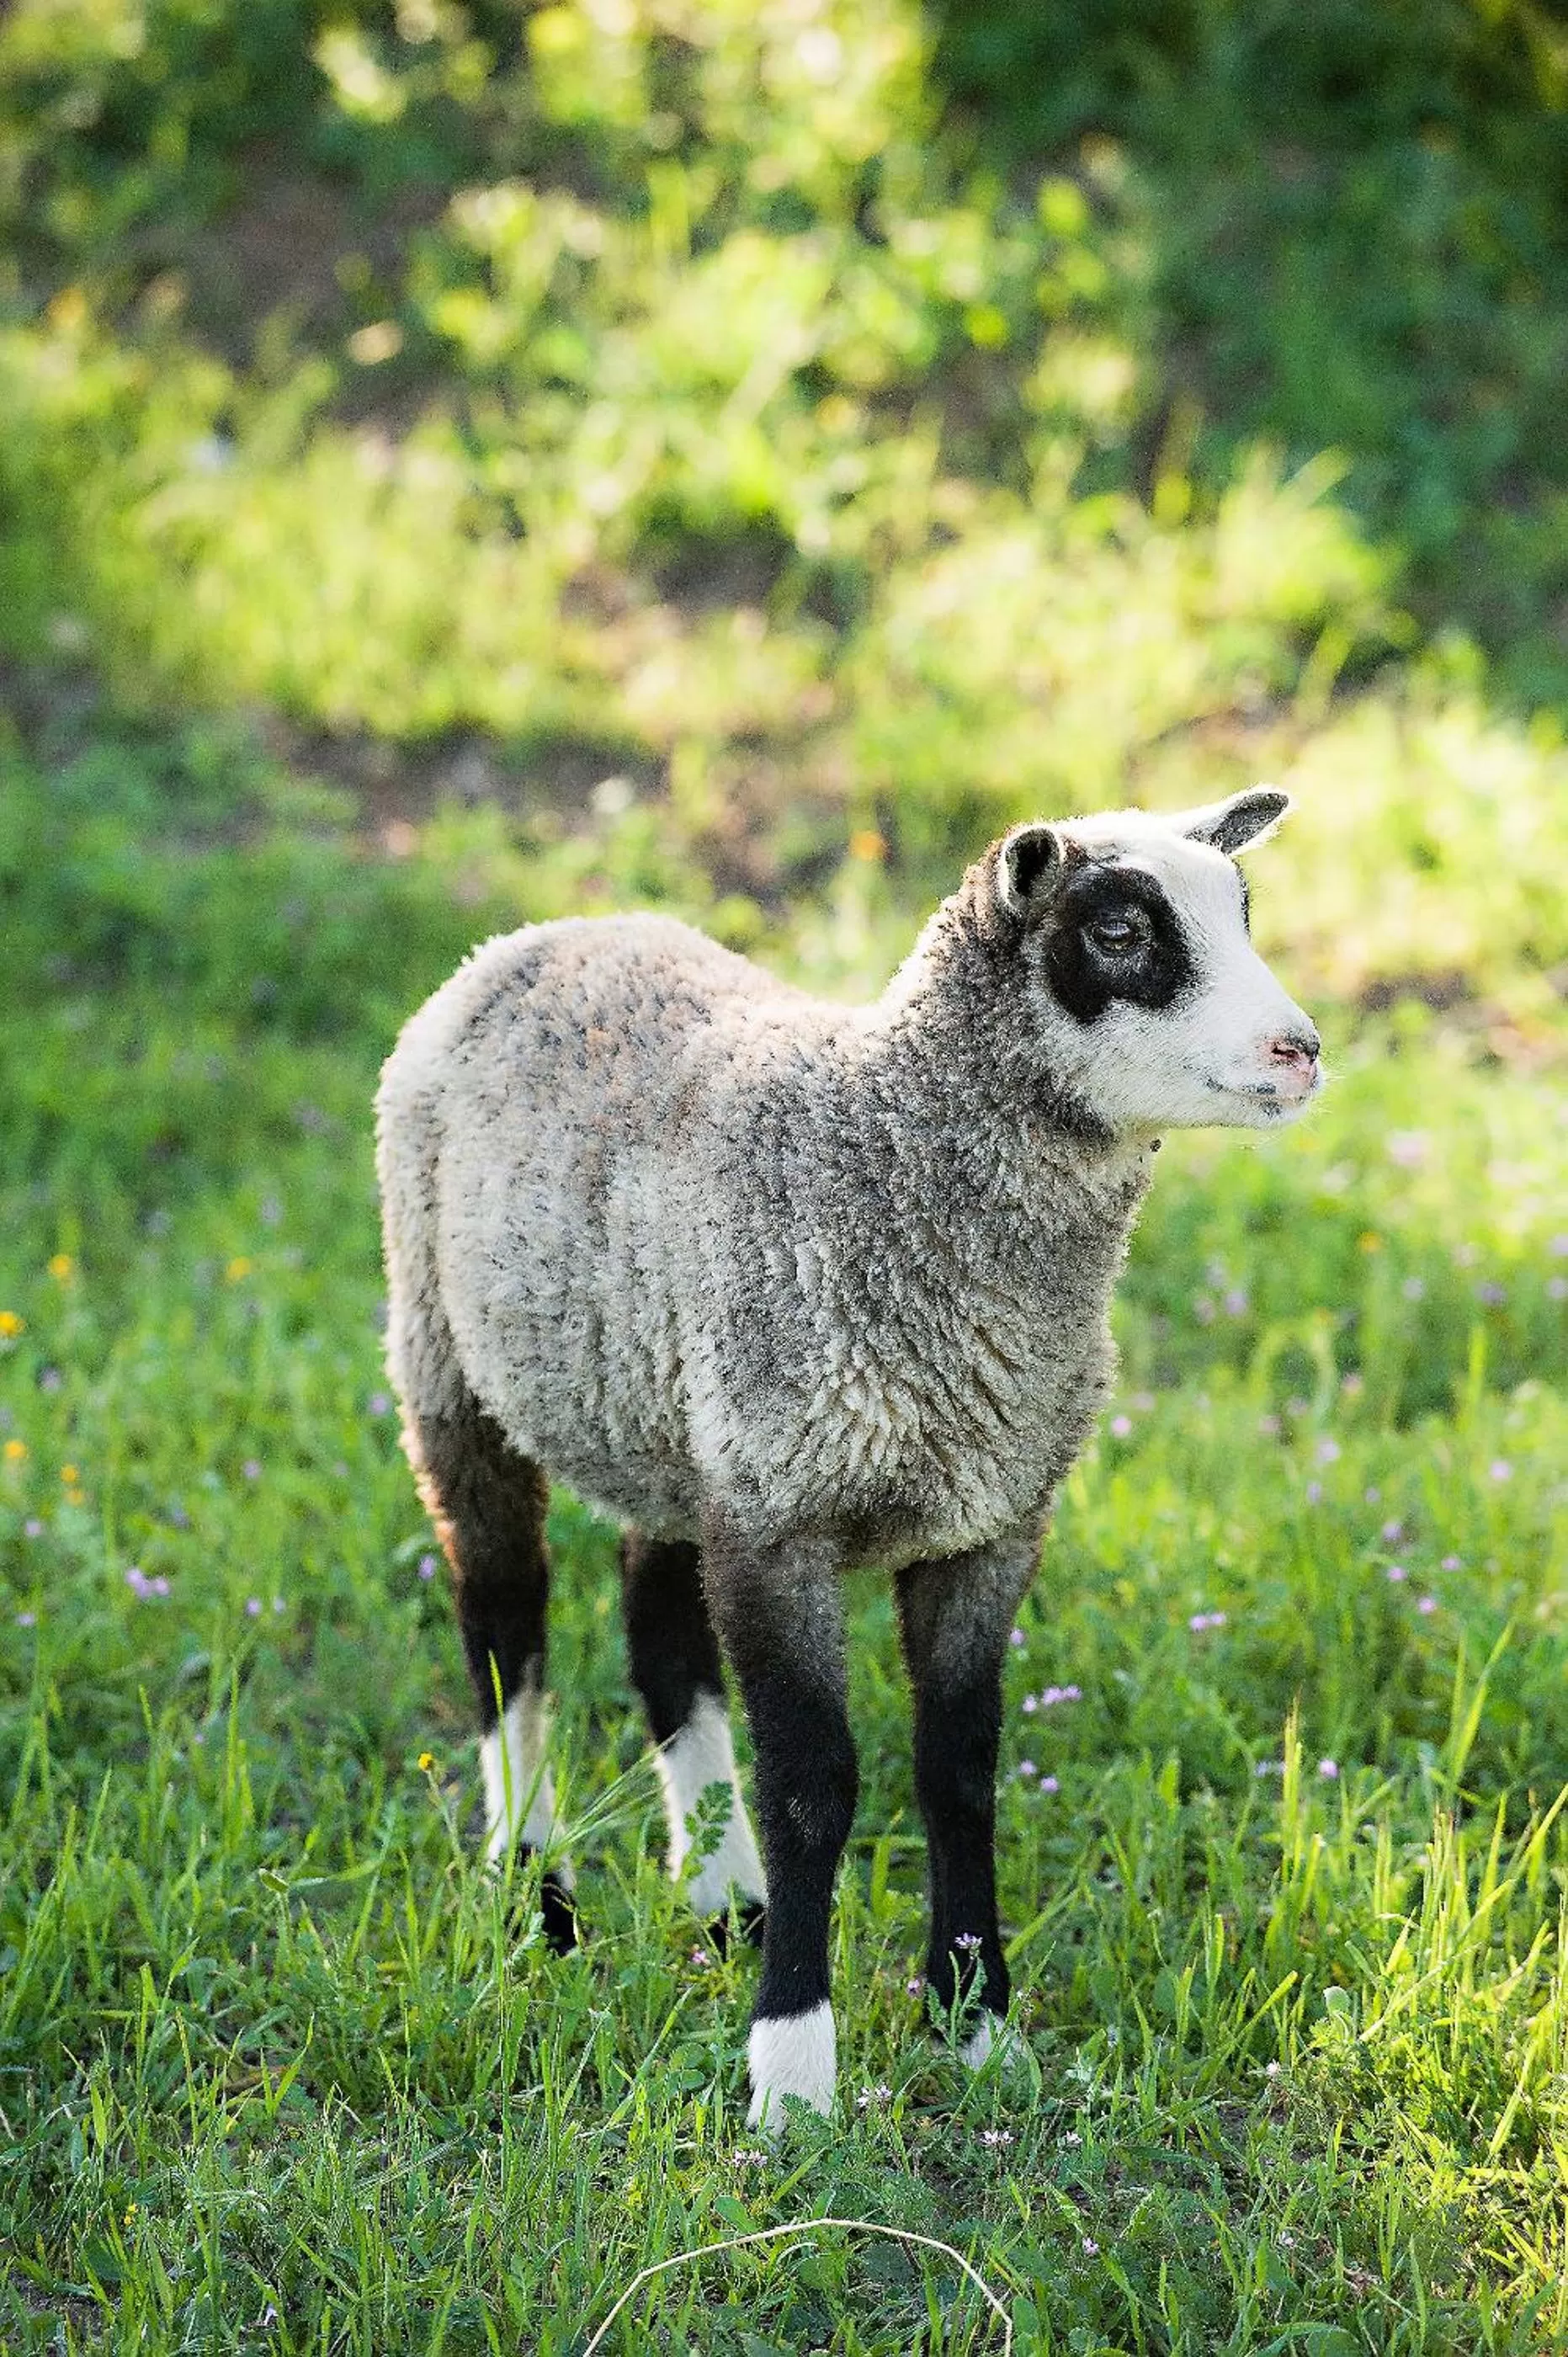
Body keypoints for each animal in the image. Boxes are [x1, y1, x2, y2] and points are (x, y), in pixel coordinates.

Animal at [374, 787, 1321, 2129]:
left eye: (1242, 909)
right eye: (1120, 933)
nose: (1300, 1051)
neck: (873, 1158)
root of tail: (549, 932)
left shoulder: (988, 1520)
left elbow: (960, 1772)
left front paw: (978, 2025)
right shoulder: (783, 1526)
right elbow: (813, 1790)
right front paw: (792, 2073)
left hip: (673, 1421)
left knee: (656, 1631)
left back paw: (724, 1898)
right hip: (448, 1360)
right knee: (506, 1631)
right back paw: (537, 1896)